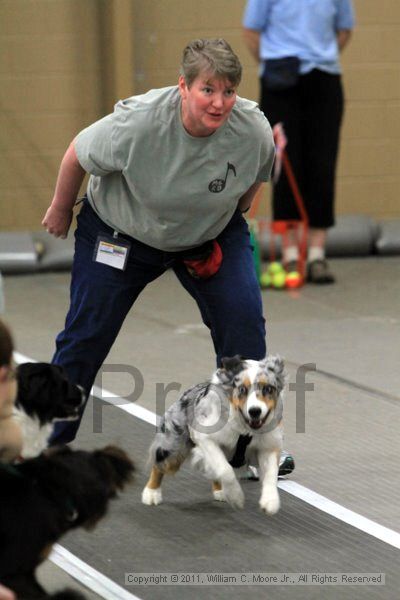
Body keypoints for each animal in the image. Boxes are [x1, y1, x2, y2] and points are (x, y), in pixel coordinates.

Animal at [142, 356, 286, 516]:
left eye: (268, 389)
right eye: (242, 389)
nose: (255, 411)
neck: (245, 429)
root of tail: (188, 392)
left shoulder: (268, 446)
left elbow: (271, 475)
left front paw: (270, 501)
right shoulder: (205, 438)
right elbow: (225, 469)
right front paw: (236, 497)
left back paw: (220, 492)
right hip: (175, 446)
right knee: (159, 464)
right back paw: (151, 493)